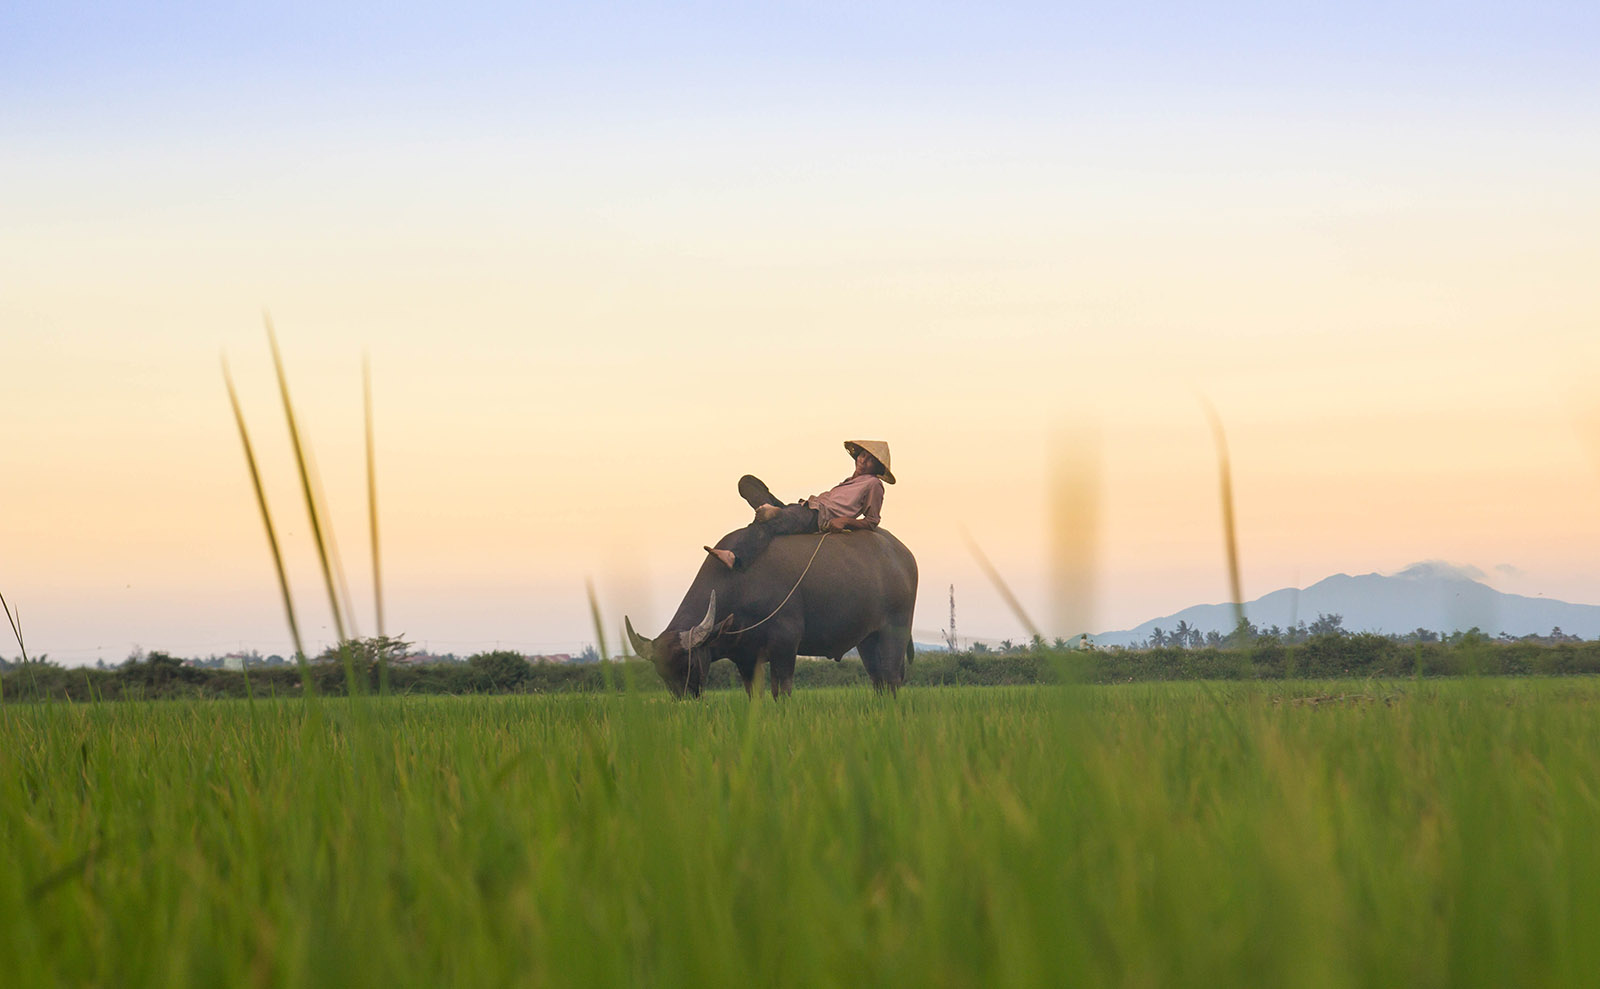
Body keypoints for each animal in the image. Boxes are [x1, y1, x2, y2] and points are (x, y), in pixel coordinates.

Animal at [625, 528, 918, 697]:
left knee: (892, 677)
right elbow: (755, 695)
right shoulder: (745, 658)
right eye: (662, 674)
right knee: (878, 680)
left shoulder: (785, 645)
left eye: (689, 665)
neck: (741, 584)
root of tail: (902, 554)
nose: (686, 702)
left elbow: (782, 691)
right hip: (868, 638)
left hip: (895, 630)